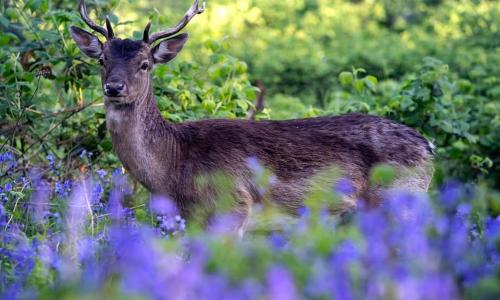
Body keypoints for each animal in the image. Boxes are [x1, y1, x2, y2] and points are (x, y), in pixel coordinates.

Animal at [70, 0, 434, 230]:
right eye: (102, 60)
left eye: (145, 64)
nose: (114, 87)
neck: (173, 169)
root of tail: (429, 148)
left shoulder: (232, 207)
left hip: (398, 200)